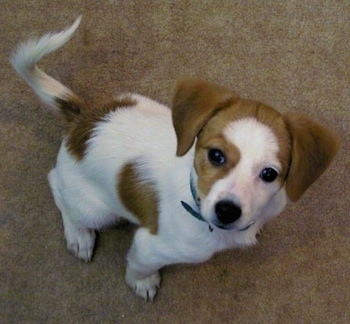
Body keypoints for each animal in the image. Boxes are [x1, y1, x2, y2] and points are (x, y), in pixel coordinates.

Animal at [11, 17, 340, 302]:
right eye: (216, 155)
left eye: (270, 174)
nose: (227, 211)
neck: (195, 198)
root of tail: (84, 121)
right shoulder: (149, 246)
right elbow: (139, 266)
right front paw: (142, 282)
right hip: (95, 210)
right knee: (57, 188)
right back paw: (79, 236)